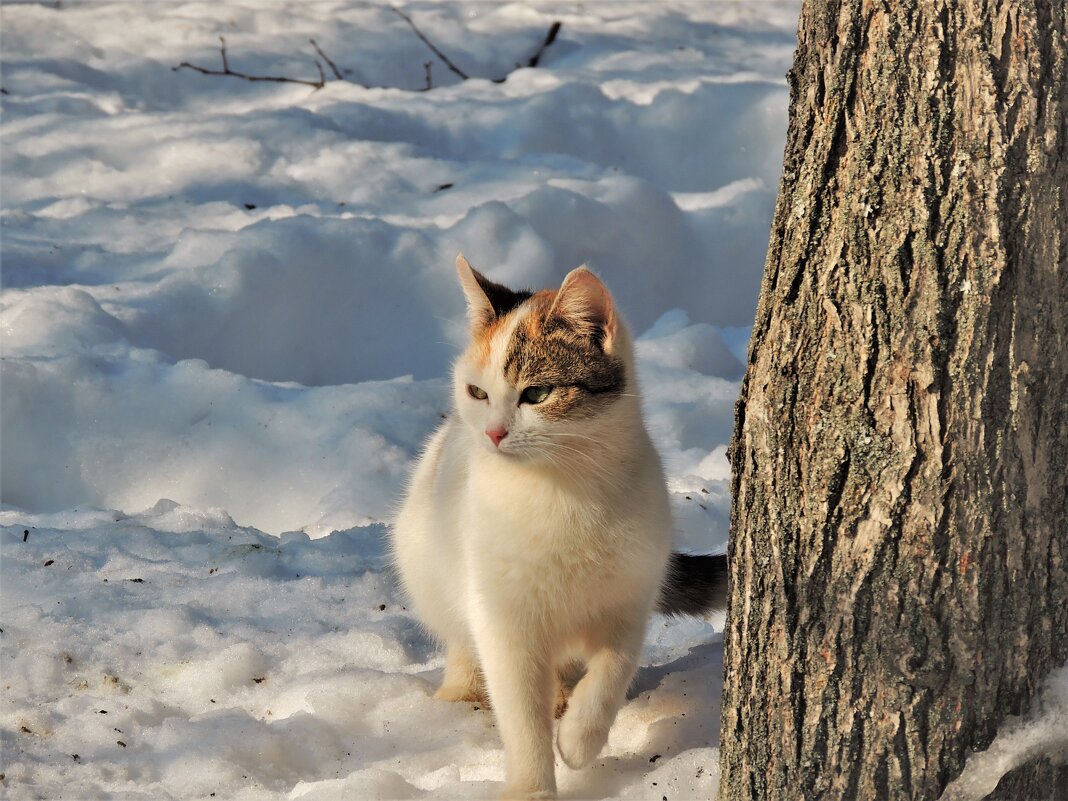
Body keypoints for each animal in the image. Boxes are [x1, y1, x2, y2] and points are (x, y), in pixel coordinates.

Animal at [393, 258, 726, 801]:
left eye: (537, 393)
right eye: (477, 392)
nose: (493, 433)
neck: (563, 489)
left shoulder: (629, 596)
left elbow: (613, 669)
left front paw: (579, 739)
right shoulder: (505, 620)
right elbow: (520, 712)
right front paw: (531, 786)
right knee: (461, 637)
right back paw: (461, 688)